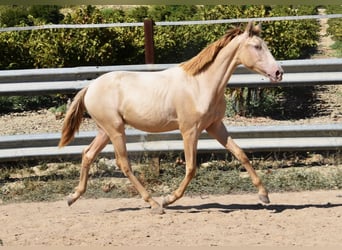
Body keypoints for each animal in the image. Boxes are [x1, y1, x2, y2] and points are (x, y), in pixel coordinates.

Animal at [58, 22, 284, 214]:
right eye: (257, 46)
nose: (278, 72)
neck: (200, 84)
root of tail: (89, 88)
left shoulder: (215, 126)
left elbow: (241, 154)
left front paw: (264, 196)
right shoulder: (189, 130)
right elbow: (191, 168)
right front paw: (168, 199)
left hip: (105, 130)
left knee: (87, 154)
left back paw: (72, 197)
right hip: (115, 130)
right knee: (123, 163)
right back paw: (154, 204)